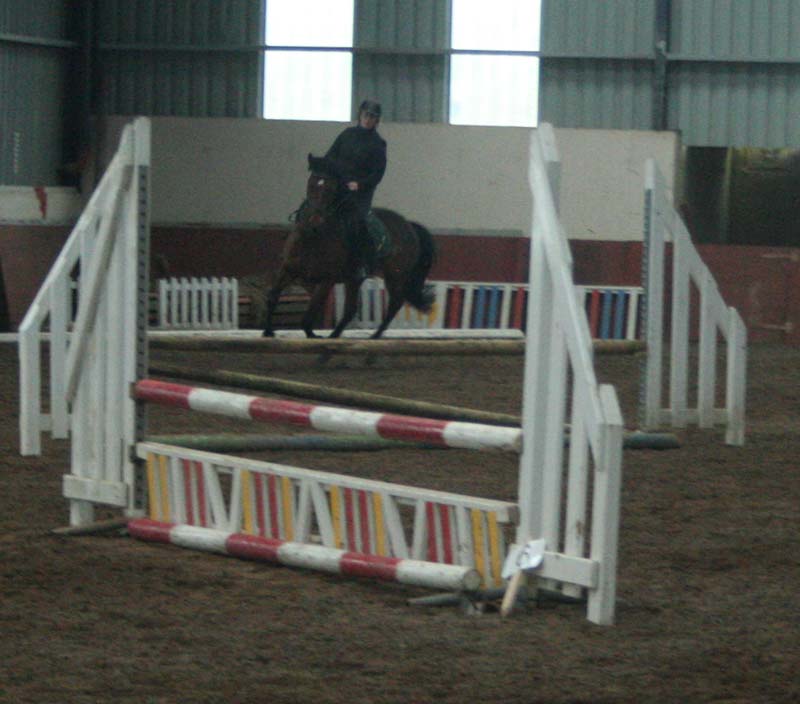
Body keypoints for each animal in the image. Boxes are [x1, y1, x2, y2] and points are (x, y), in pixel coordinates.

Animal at [262, 154, 436, 339]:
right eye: (311, 183)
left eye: (331, 188)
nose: (314, 220)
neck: (314, 237)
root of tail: (409, 225)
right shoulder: (288, 269)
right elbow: (273, 296)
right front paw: (268, 331)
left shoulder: (326, 280)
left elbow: (313, 308)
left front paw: (311, 334)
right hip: (355, 280)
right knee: (352, 309)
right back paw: (338, 335)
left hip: (394, 276)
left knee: (393, 304)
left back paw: (371, 336)